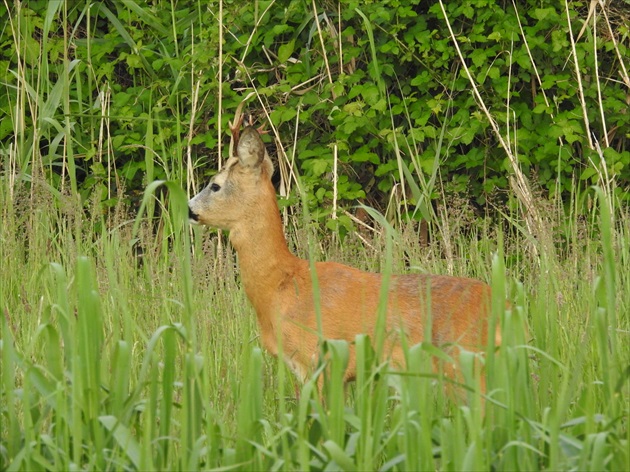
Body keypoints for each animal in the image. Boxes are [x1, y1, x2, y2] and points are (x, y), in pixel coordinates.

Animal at [189, 124, 504, 390]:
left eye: (215, 185)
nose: (189, 209)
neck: (280, 285)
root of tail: (504, 307)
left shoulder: (319, 360)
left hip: (467, 362)